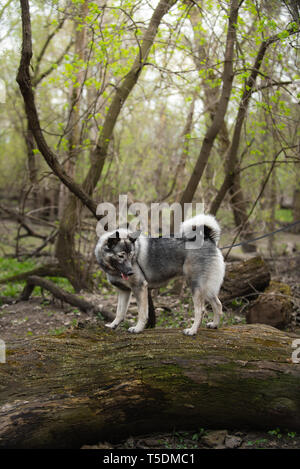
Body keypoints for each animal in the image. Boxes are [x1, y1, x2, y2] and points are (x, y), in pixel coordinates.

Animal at [94, 214, 225, 334]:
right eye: (121, 256)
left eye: (131, 255)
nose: (131, 272)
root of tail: (208, 238)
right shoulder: (124, 291)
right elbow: (120, 312)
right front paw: (113, 325)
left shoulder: (139, 287)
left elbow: (142, 313)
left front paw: (138, 328)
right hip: (207, 288)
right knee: (218, 305)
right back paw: (214, 324)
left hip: (196, 286)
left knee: (200, 310)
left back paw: (192, 330)